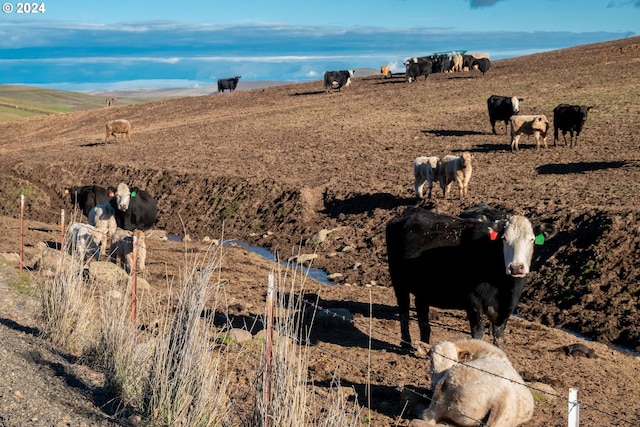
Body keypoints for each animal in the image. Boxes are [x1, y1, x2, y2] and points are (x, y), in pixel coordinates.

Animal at [384, 206, 556, 350]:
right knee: (404, 312)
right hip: (398, 283)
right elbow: (478, 333)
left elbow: (499, 336)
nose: (516, 267)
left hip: (423, 290)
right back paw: (406, 343)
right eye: (504, 239)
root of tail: (410, 211)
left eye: (531, 239)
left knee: (423, 318)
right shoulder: (473, 302)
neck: (502, 285)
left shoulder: (507, 308)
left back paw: (424, 346)